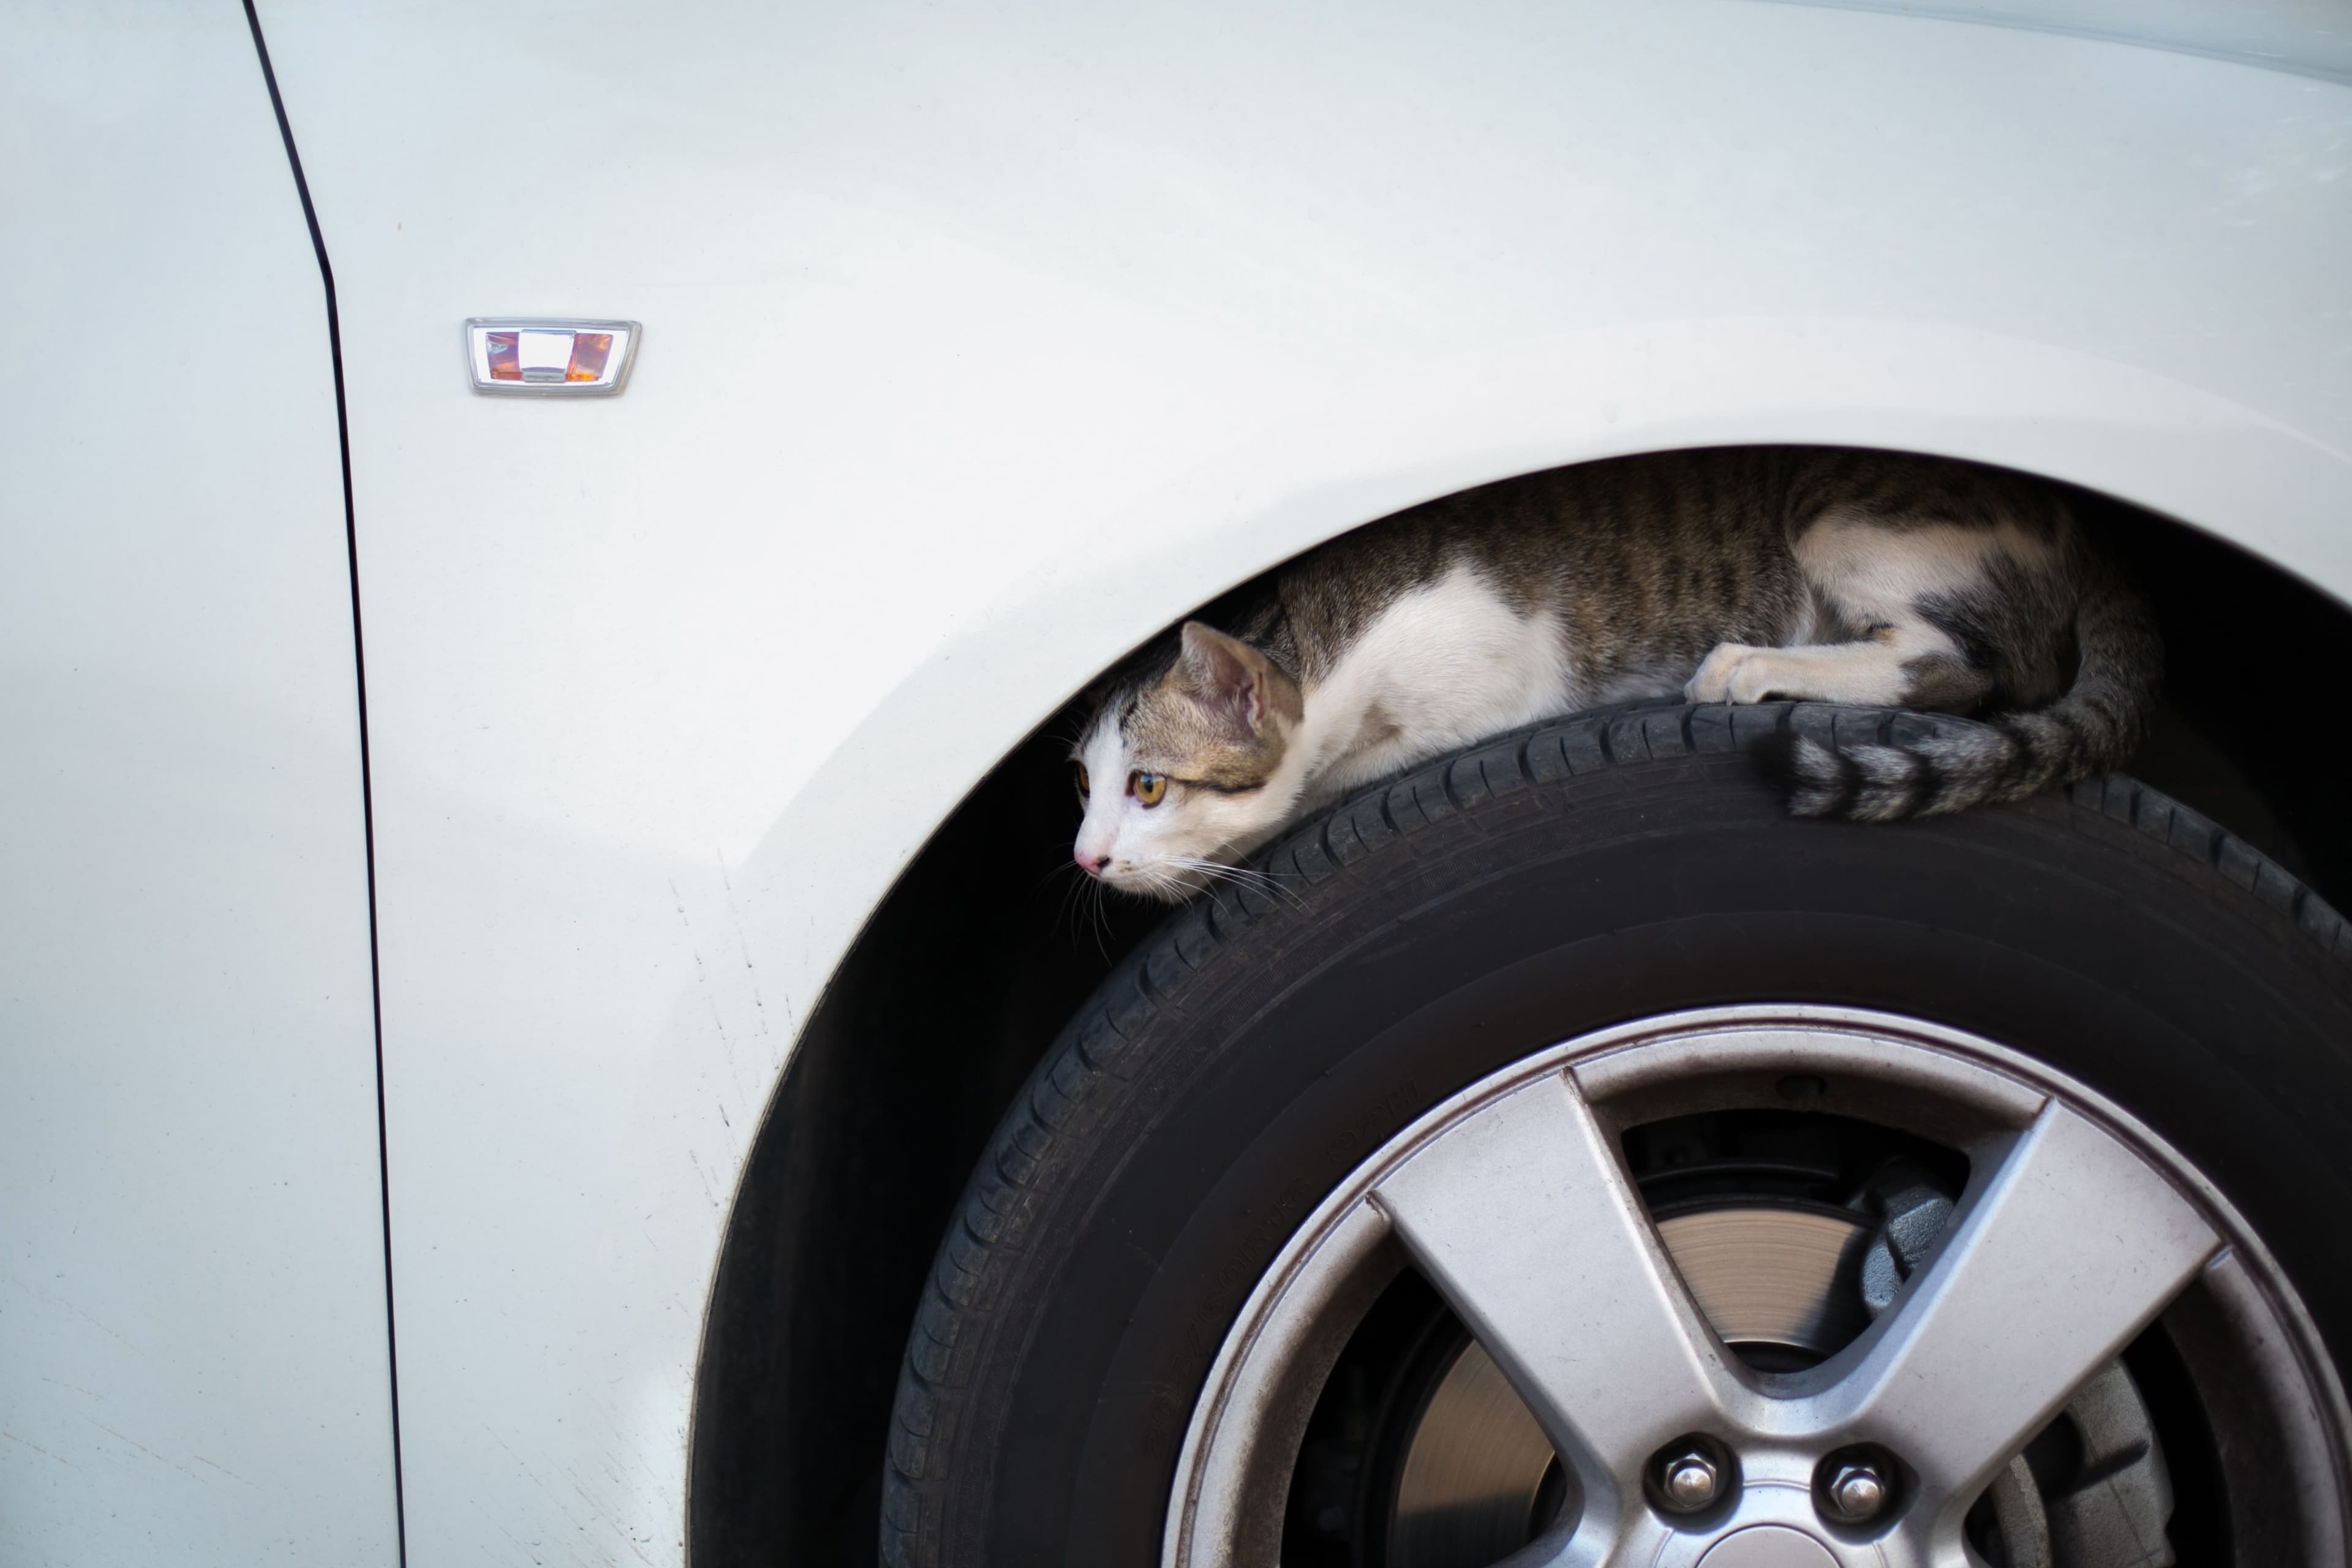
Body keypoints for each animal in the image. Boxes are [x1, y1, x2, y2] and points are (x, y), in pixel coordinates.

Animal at [1077, 447, 2154, 902]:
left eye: (1149, 787)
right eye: (1084, 791)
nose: (1086, 859)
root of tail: (2086, 537)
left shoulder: (1492, 693)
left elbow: (1322, 786)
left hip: (1846, 508)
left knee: (1964, 670)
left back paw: (1750, 664)